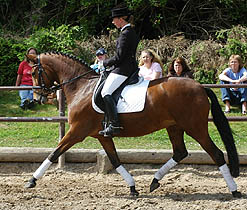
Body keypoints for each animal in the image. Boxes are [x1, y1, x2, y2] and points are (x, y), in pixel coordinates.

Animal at [25, 51, 241, 198]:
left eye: (35, 73)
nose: (37, 98)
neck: (82, 87)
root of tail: (200, 87)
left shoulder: (77, 132)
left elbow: (54, 153)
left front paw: (31, 181)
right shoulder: (102, 135)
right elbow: (115, 160)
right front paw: (132, 188)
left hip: (195, 127)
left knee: (216, 154)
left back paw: (234, 191)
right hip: (174, 127)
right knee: (180, 152)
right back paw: (154, 181)